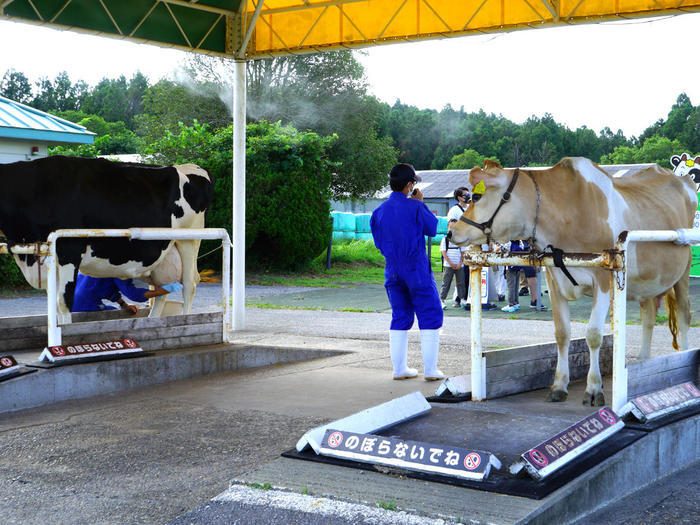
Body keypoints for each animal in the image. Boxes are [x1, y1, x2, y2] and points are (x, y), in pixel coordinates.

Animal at [0, 154, 213, 322]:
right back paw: (152, 321)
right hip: (162, 254)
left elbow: (63, 302)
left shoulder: (69, 250)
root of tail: (190, 167)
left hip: (188, 239)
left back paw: (184, 321)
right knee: (162, 289)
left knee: (189, 284)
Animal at [448, 156, 696, 406]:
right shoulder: (554, 278)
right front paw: (559, 385)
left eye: (476, 197)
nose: (451, 232)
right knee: (648, 317)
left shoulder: (603, 279)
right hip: (649, 280)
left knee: (684, 314)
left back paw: (682, 355)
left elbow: (593, 335)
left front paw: (594, 389)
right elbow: (562, 333)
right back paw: (644, 360)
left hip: (684, 269)